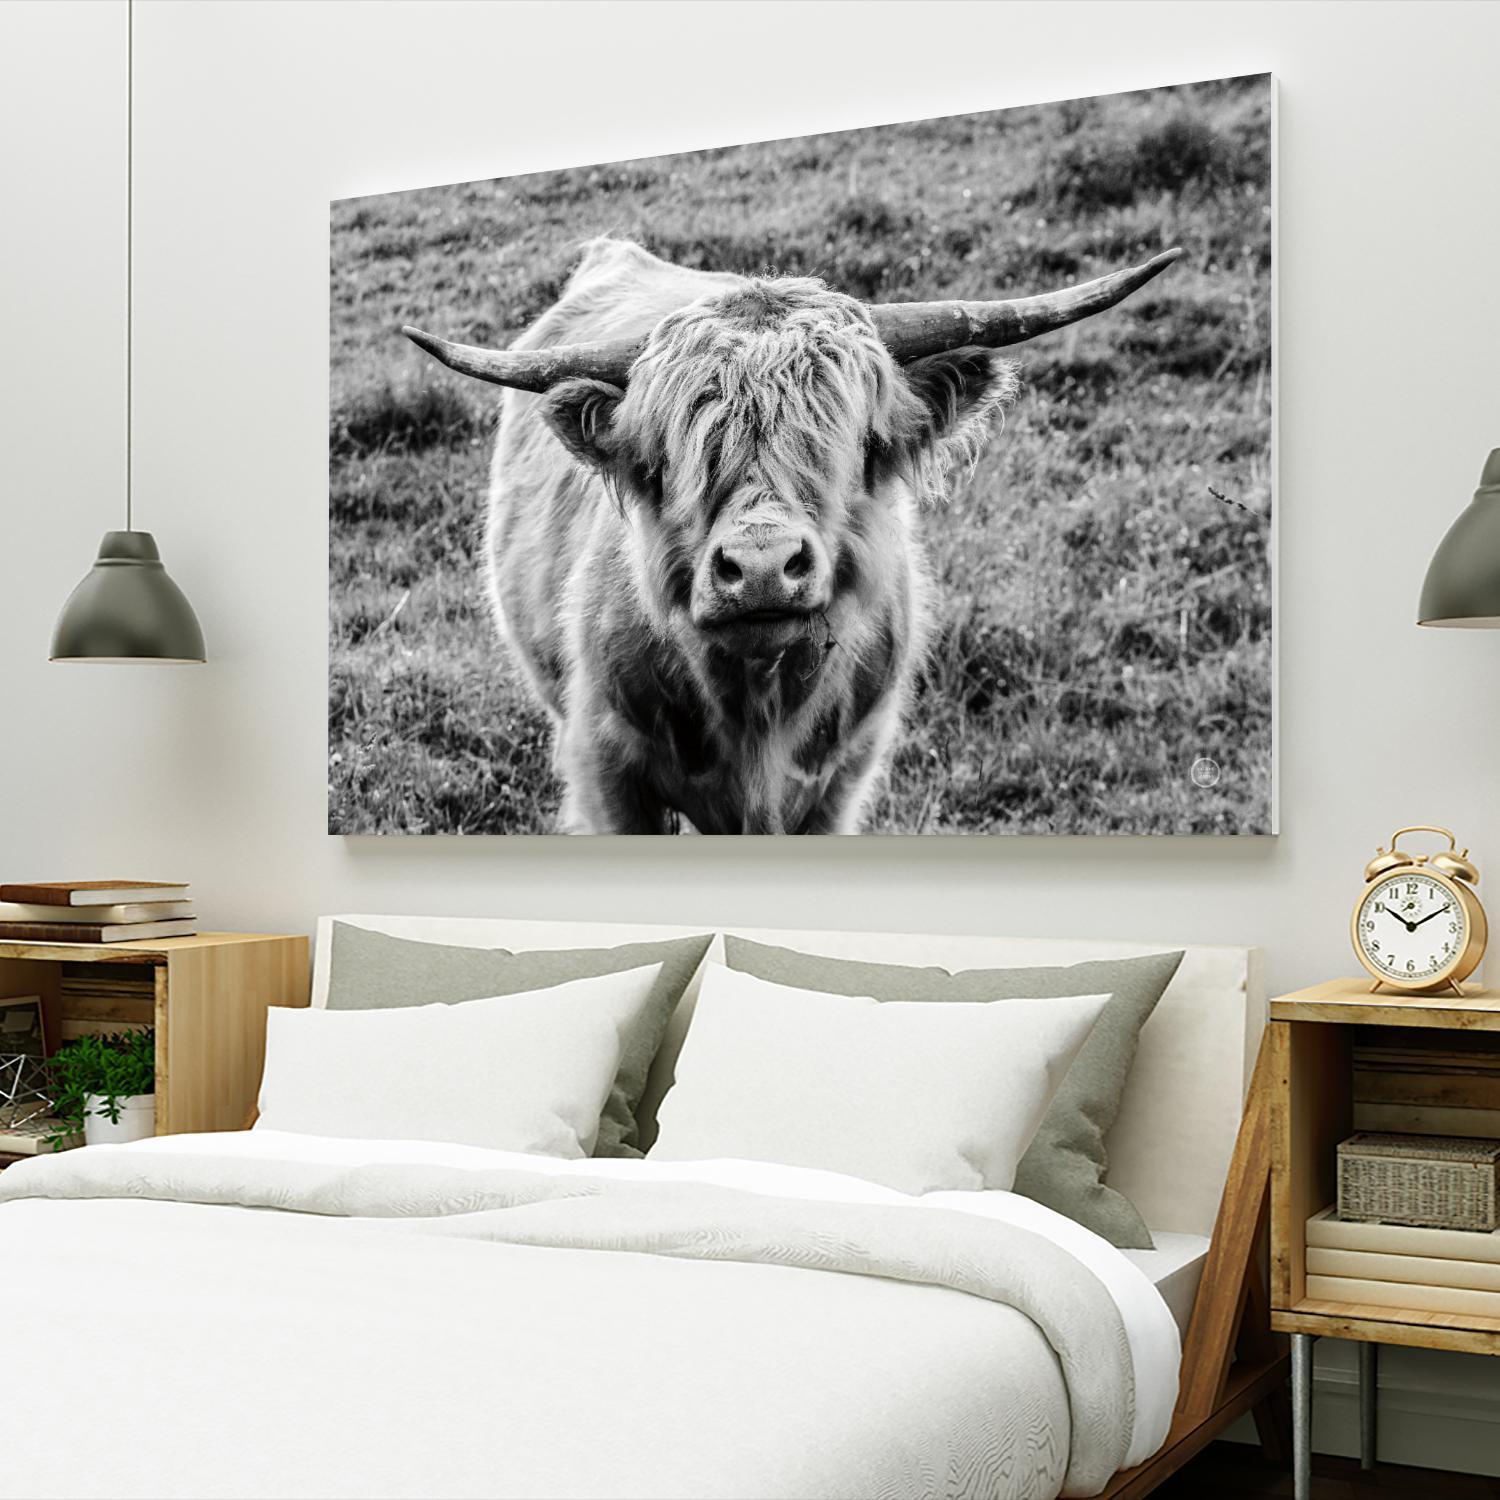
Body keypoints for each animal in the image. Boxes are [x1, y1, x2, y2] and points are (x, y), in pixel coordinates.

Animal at [405, 237, 1178, 834]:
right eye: (672, 453)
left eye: (860, 442)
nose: (762, 568)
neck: (757, 710)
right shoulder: (605, 768)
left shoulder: (842, 779)